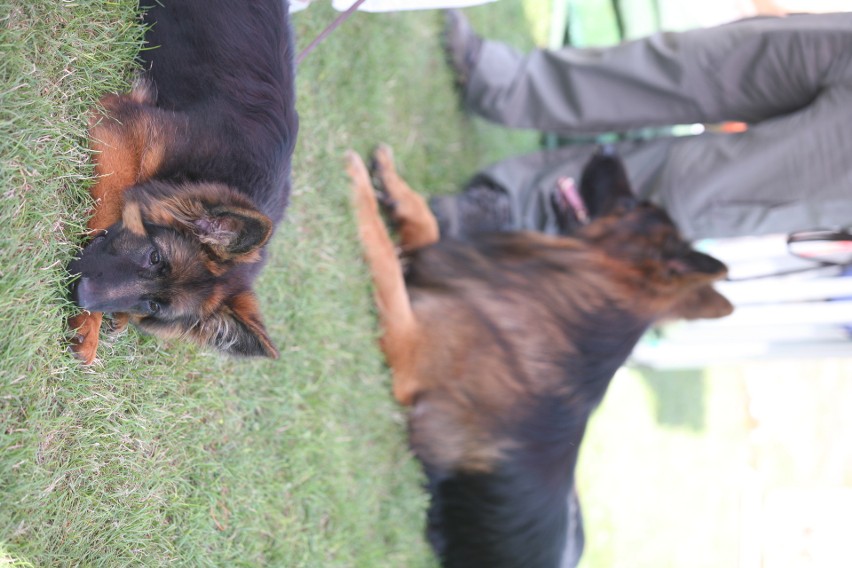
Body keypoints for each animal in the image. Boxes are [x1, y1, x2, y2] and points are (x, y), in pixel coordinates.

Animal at [67, 1, 300, 364]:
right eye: (155, 257)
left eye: (153, 305)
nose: (80, 295)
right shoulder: (124, 123)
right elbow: (118, 200)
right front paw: (88, 326)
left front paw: (112, 317)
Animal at [346, 145, 732, 568]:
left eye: (631, 204)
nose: (608, 147)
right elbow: (425, 227)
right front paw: (393, 185)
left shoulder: (407, 350)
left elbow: (382, 251)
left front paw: (358, 184)